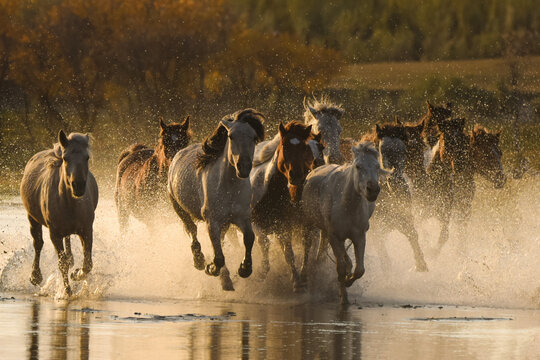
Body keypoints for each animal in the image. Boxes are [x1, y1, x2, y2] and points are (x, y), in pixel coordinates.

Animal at [167, 108, 264, 292]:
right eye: (231, 136)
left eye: (254, 137)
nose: (243, 167)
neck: (229, 187)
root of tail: (178, 154)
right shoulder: (212, 221)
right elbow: (218, 256)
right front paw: (210, 268)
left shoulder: (242, 217)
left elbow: (249, 238)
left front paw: (245, 268)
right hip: (178, 206)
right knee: (192, 230)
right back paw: (200, 261)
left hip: (225, 223)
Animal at [251, 122, 322, 292]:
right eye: (284, 145)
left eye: (303, 147)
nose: (295, 175)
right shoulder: (256, 223)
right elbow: (265, 243)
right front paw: (262, 272)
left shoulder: (295, 226)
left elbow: (299, 250)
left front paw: (300, 279)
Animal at [300, 141, 388, 304]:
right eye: (358, 166)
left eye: (377, 166)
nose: (373, 189)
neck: (347, 204)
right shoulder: (334, 237)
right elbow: (340, 267)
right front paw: (343, 291)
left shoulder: (359, 237)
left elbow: (359, 269)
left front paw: (348, 281)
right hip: (309, 224)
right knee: (307, 247)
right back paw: (303, 276)